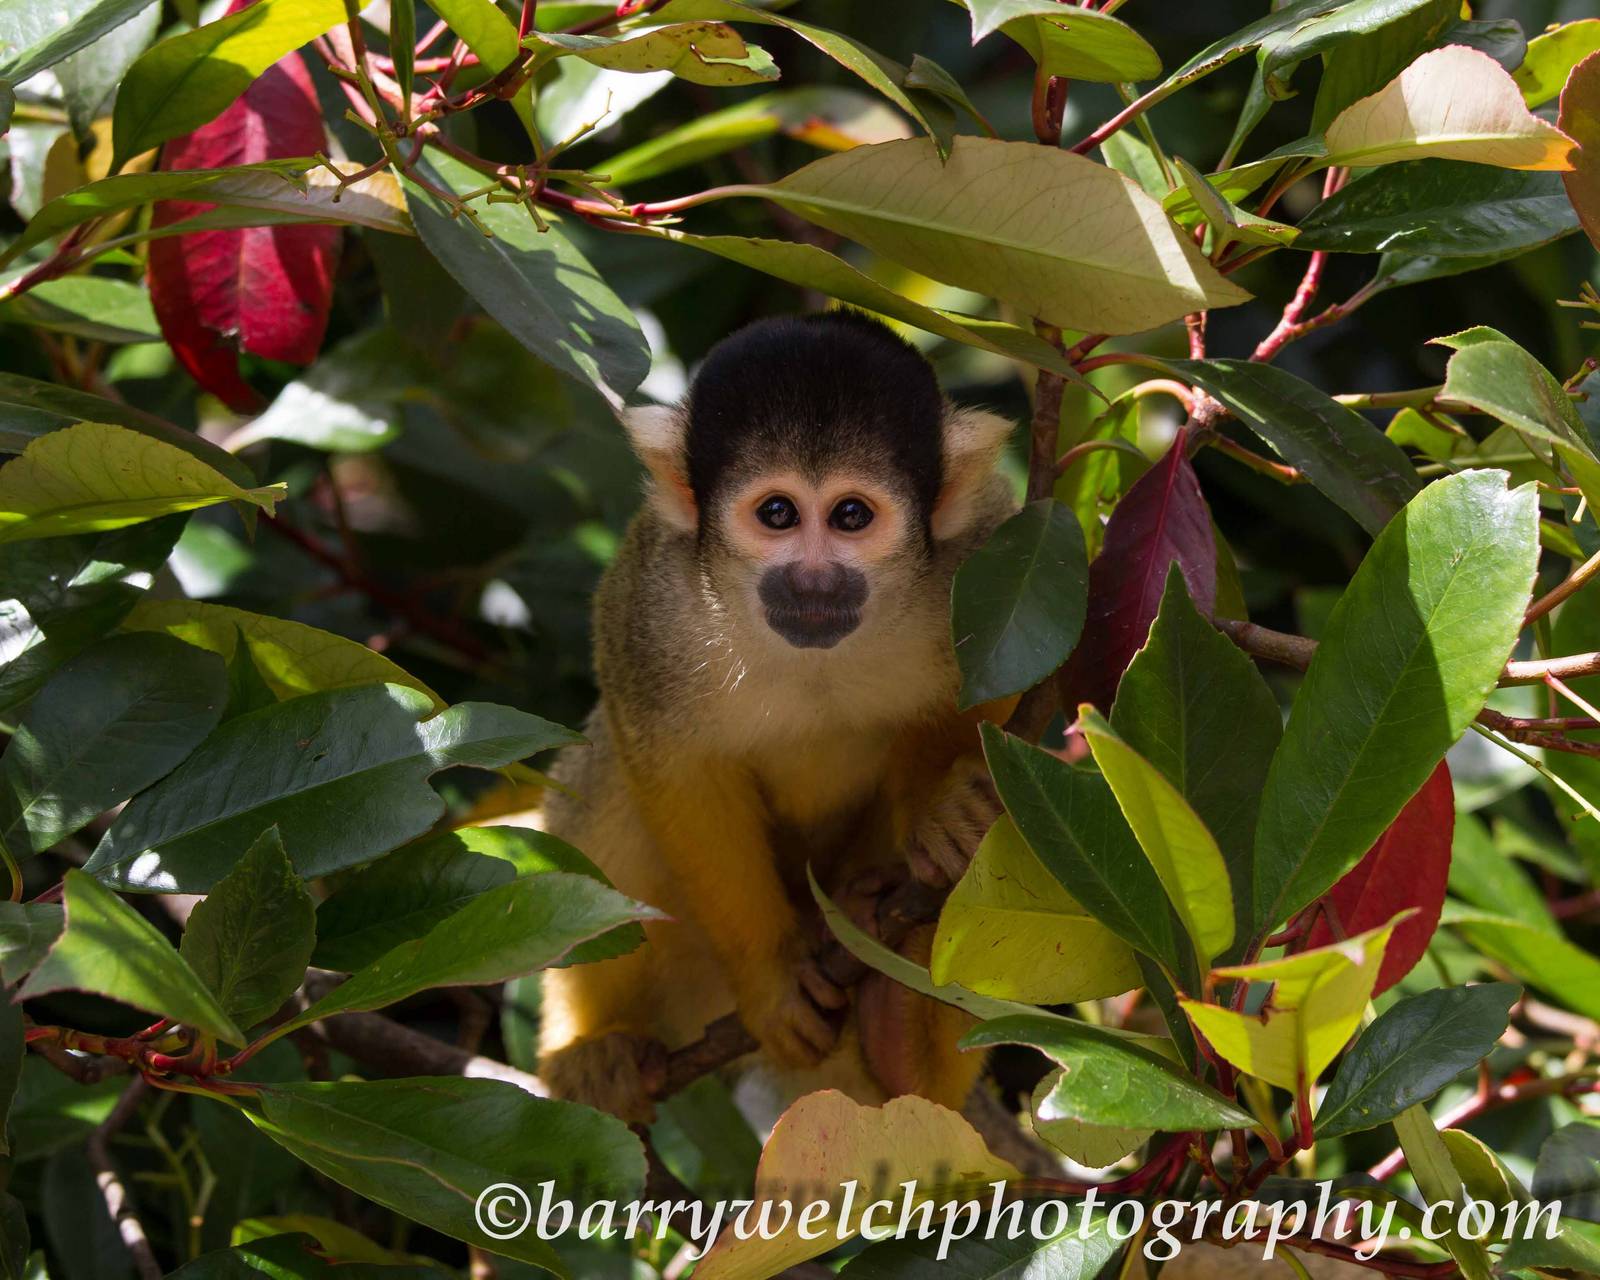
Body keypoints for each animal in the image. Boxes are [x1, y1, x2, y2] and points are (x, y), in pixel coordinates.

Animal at [537, 311, 1018, 1126]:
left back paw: (900, 1024)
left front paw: (944, 810)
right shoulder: (655, 600)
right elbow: (672, 765)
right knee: (606, 781)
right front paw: (772, 981)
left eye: (851, 516)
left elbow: (1005, 691)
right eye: (777, 514)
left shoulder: (987, 551)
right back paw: (594, 1045)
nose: (812, 580)